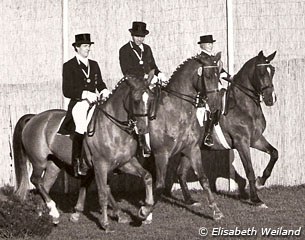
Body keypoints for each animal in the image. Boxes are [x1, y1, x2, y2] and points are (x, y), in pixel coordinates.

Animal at [12, 74, 153, 232]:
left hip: (54, 165)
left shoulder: (125, 162)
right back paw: (53, 211)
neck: (115, 129)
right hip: (39, 161)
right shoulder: (100, 165)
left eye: (151, 100)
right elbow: (103, 192)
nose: (143, 129)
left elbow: (147, 176)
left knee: (44, 184)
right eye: (136, 100)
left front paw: (144, 211)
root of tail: (34, 117)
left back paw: (48, 215)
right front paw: (105, 224)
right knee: (35, 180)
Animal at [173, 50, 276, 208]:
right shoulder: (241, 142)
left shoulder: (256, 139)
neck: (243, 106)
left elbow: (274, 153)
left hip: (189, 148)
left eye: (273, 71)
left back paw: (190, 201)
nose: (271, 99)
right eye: (261, 72)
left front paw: (261, 181)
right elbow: (249, 170)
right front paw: (256, 199)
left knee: (180, 172)